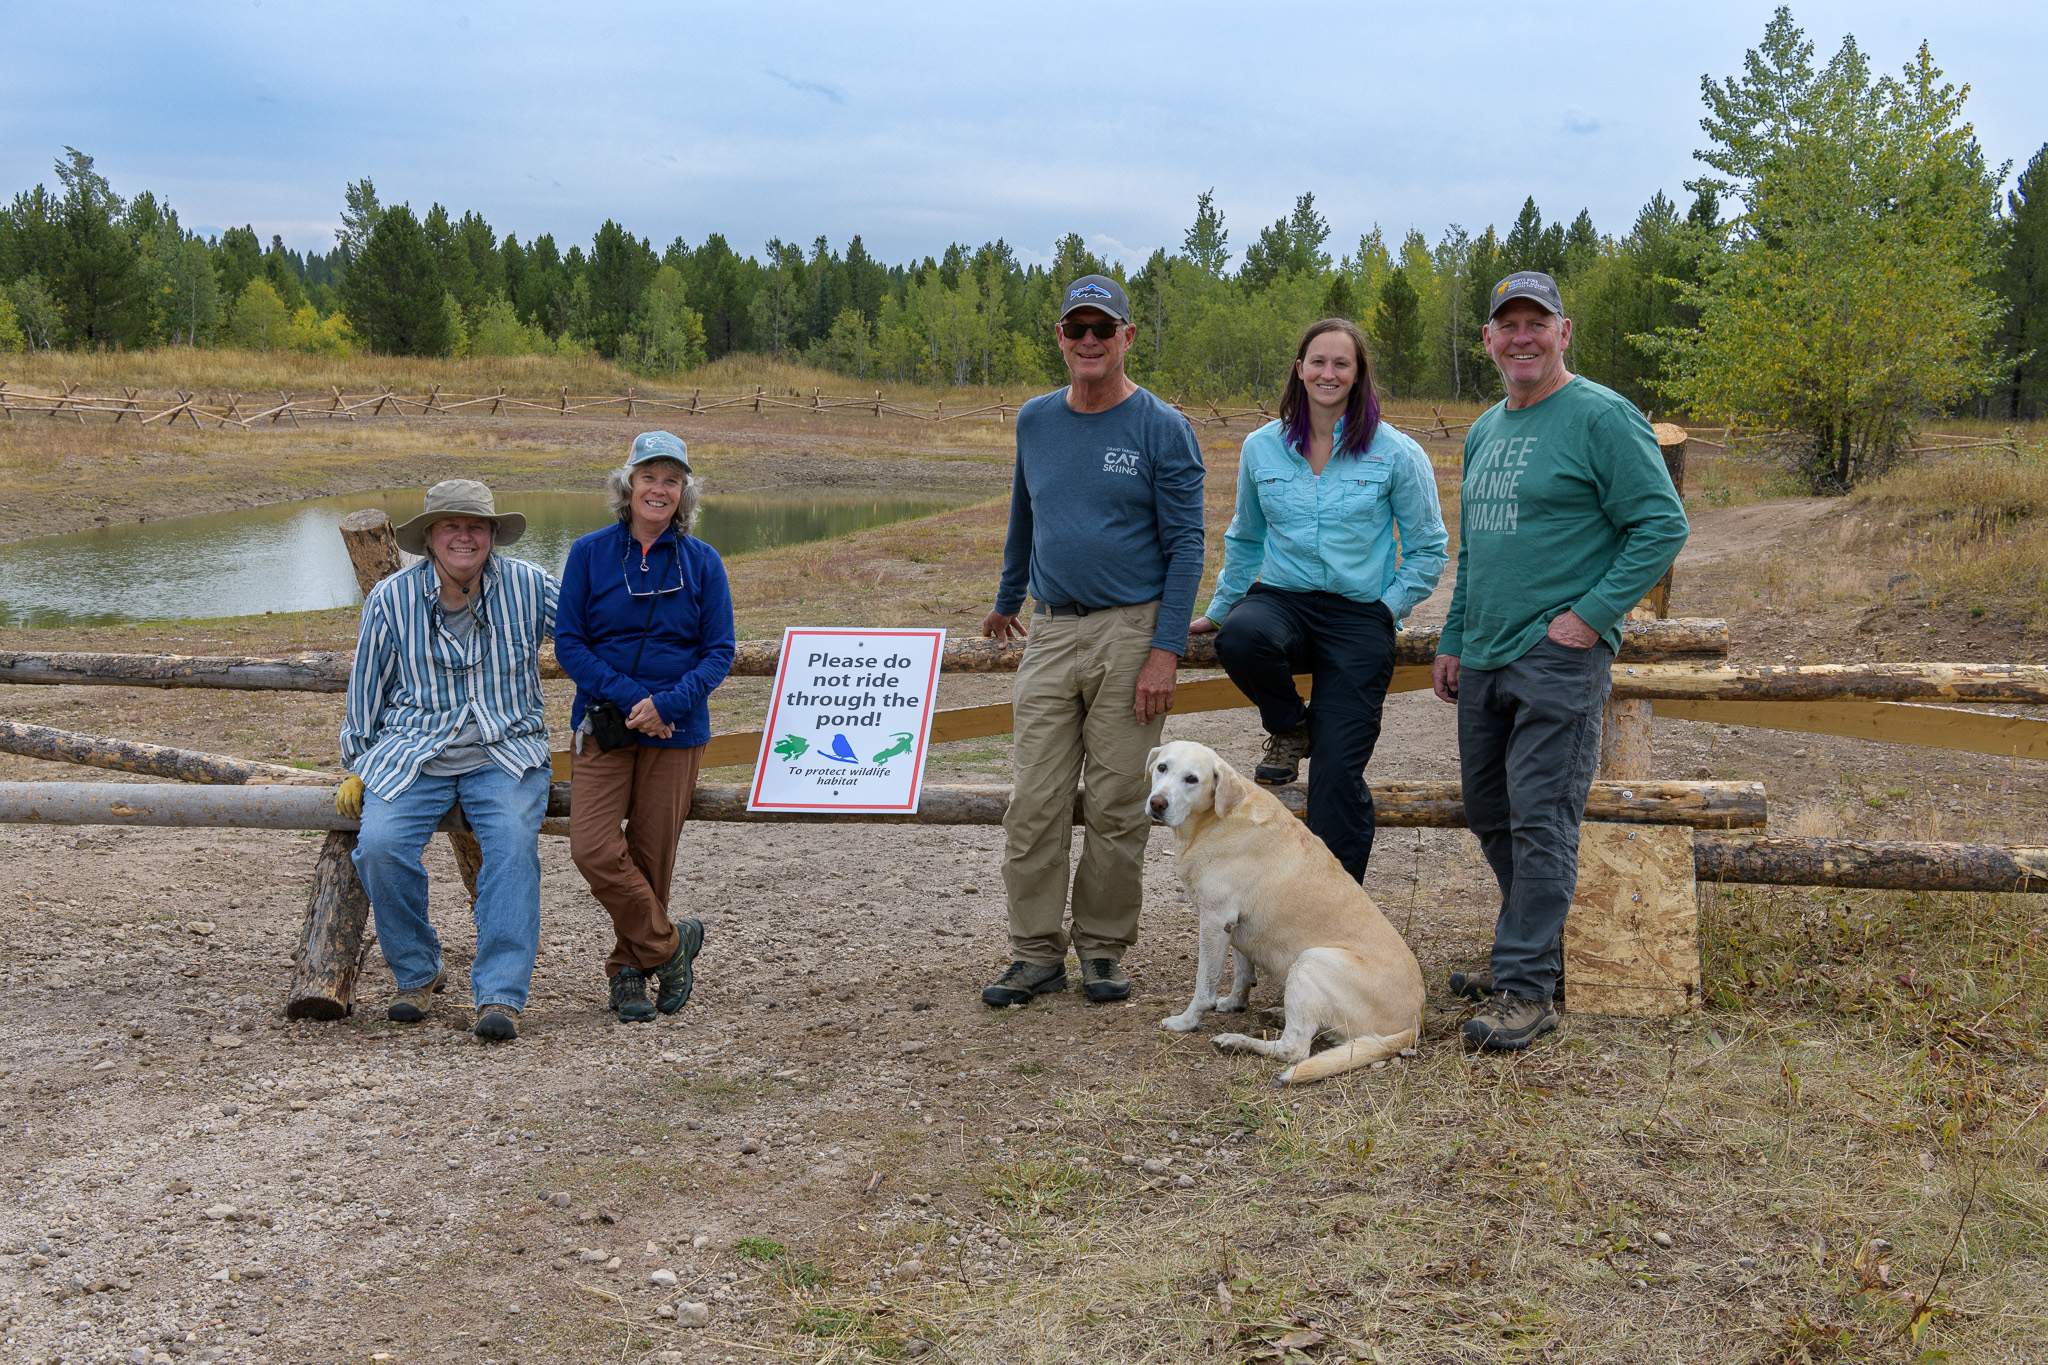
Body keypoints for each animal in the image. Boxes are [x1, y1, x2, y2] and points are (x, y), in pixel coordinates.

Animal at [1155, 740, 1425, 1080]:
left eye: (1192, 779)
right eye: (1162, 767)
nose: (1156, 803)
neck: (1218, 817)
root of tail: (1413, 1023)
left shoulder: (1215, 920)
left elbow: (1205, 985)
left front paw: (1187, 1021)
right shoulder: (1233, 925)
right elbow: (1242, 972)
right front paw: (1234, 1003)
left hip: (1310, 962)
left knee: (1295, 1049)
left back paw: (1239, 1042)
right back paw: (1276, 1015)